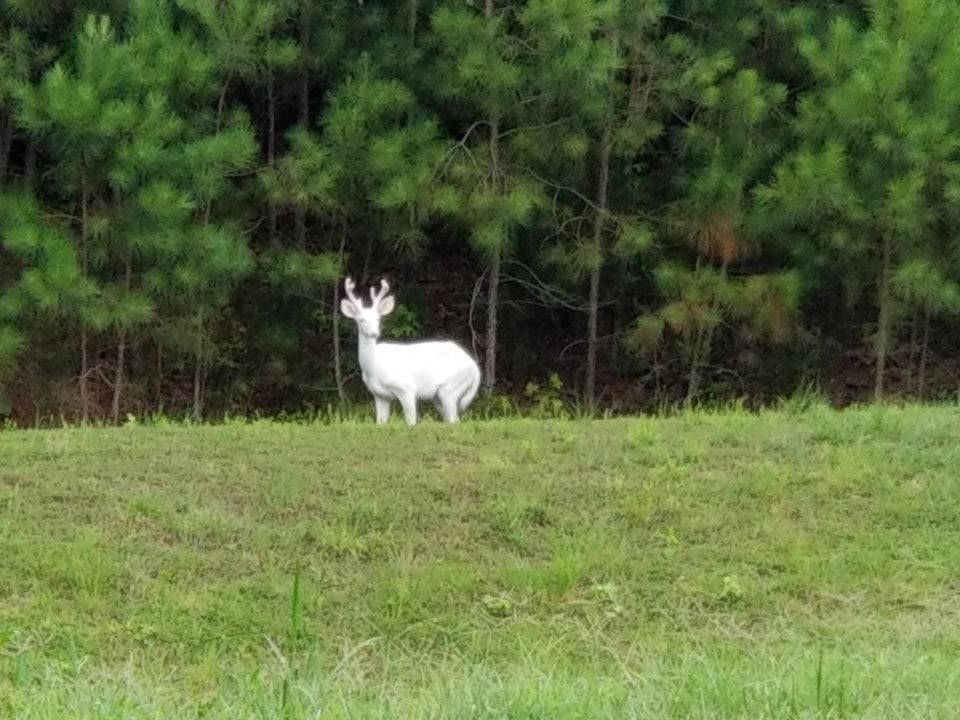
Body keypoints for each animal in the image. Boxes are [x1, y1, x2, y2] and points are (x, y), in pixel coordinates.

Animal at [340, 277, 481, 426]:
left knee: (454, 420)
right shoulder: (379, 395)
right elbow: (381, 422)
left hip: (450, 387)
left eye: (378, 318)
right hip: (439, 397)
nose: (374, 333)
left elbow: (411, 421)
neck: (374, 368)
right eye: (361, 320)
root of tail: (475, 368)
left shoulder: (406, 389)